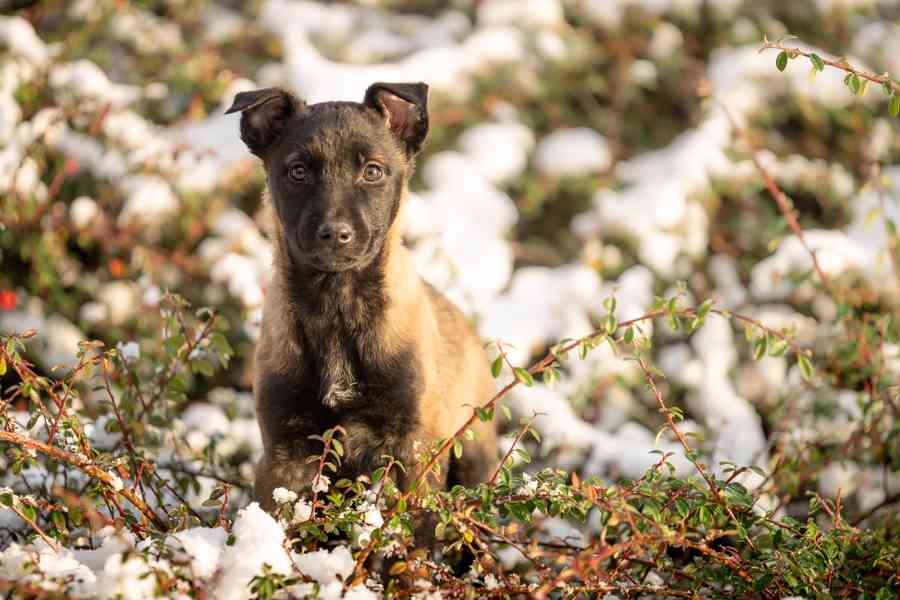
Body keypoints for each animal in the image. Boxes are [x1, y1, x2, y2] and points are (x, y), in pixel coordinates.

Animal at [223, 82, 492, 508]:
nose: (335, 233)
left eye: (373, 171)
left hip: (475, 455)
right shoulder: (284, 458)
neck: (337, 305)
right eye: (297, 172)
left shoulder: (411, 450)